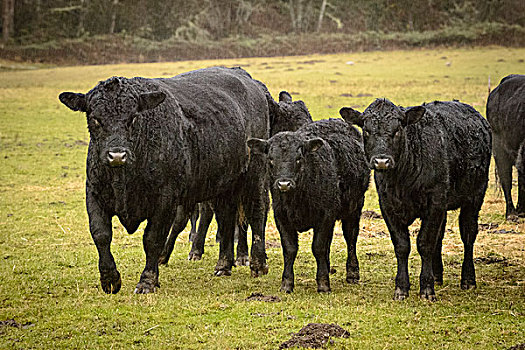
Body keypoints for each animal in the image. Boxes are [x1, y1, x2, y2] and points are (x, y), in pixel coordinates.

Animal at [58, 67, 268, 294]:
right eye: (95, 119)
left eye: (133, 118)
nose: (117, 156)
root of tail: (244, 76)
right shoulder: (94, 194)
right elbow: (101, 234)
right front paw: (110, 278)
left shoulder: (165, 201)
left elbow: (153, 239)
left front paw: (147, 281)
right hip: (223, 185)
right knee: (226, 218)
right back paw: (223, 265)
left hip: (254, 175)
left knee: (257, 212)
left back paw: (257, 264)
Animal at [247, 119, 366, 294]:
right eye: (271, 159)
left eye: (298, 158)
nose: (284, 184)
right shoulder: (281, 216)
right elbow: (290, 249)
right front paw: (287, 283)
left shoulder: (326, 215)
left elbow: (318, 247)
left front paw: (323, 284)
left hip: (354, 208)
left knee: (350, 237)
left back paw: (352, 273)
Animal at [340, 99, 492, 300]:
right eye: (366, 130)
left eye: (397, 130)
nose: (381, 161)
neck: (402, 179)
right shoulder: (388, 206)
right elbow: (402, 245)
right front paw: (401, 287)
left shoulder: (435, 203)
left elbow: (425, 243)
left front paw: (426, 288)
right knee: (440, 236)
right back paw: (437, 275)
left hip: (475, 196)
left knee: (468, 234)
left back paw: (468, 279)